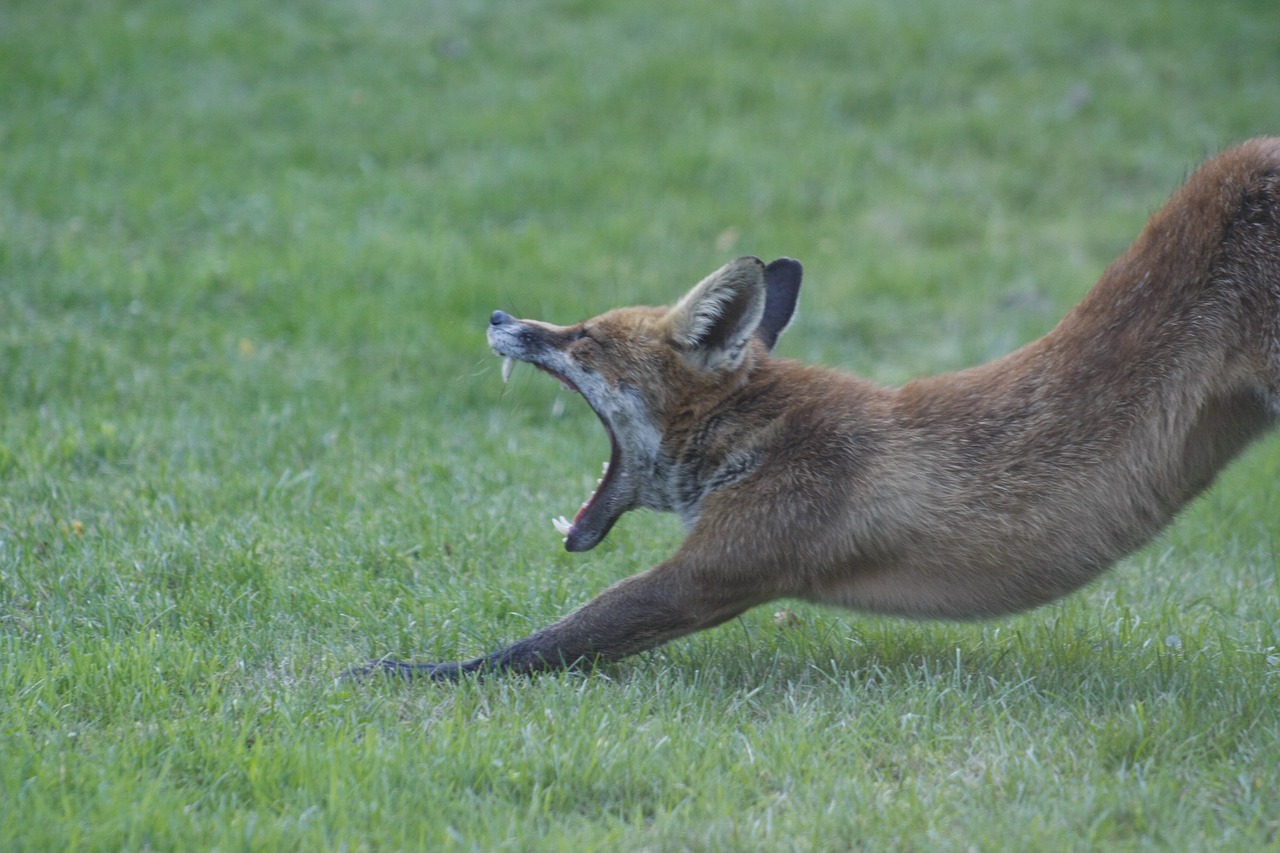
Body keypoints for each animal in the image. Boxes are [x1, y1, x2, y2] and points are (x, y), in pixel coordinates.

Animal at [345, 140, 1280, 686]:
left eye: (583, 337)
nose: (501, 316)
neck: (761, 438)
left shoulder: (721, 567)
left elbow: (537, 645)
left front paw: (410, 671)